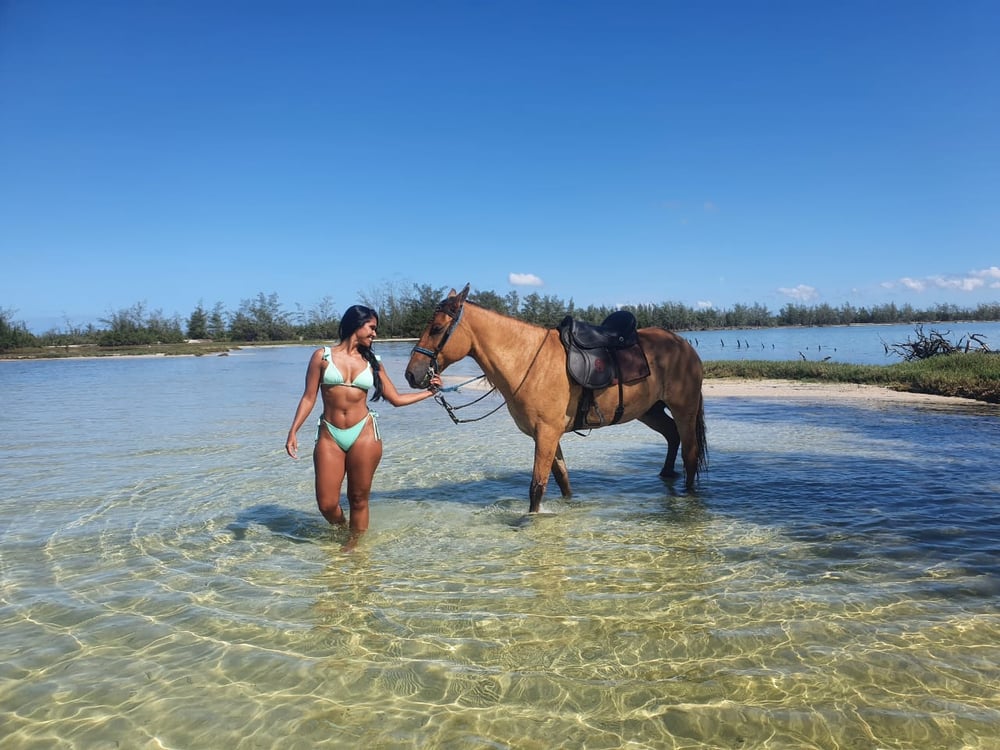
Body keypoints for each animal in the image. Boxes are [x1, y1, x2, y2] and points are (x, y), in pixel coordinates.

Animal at [402, 284, 708, 516]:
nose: (411, 374)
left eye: (437, 328)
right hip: (650, 411)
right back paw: (666, 477)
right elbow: (563, 479)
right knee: (672, 436)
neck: (528, 362)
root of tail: (683, 345)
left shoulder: (547, 434)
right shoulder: (549, 435)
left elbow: (537, 486)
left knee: (690, 453)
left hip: (684, 409)